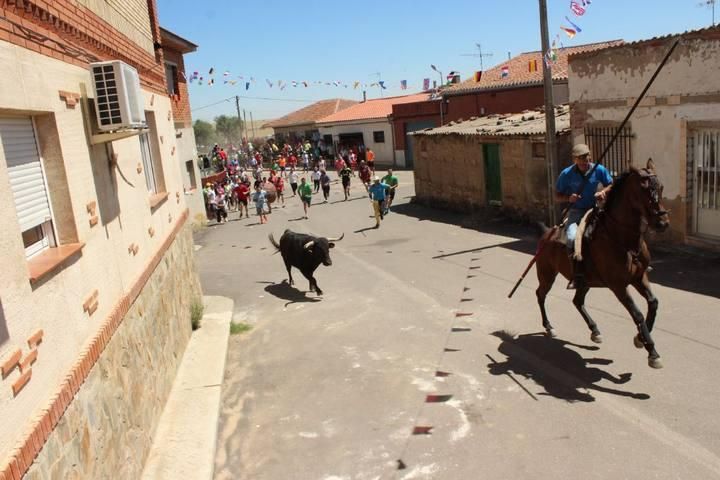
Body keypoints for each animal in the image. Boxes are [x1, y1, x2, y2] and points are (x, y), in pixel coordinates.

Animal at [536, 159, 668, 370]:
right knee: (541, 295)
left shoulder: (639, 277)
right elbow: (637, 314)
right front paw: (651, 351)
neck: (623, 239)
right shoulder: (618, 286)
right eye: (643, 189)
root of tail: (546, 233)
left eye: (661, 187)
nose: (662, 222)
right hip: (546, 274)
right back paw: (549, 327)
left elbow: (653, 303)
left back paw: (594, 330)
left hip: (586, 282)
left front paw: (640, 338)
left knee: (577, 301)